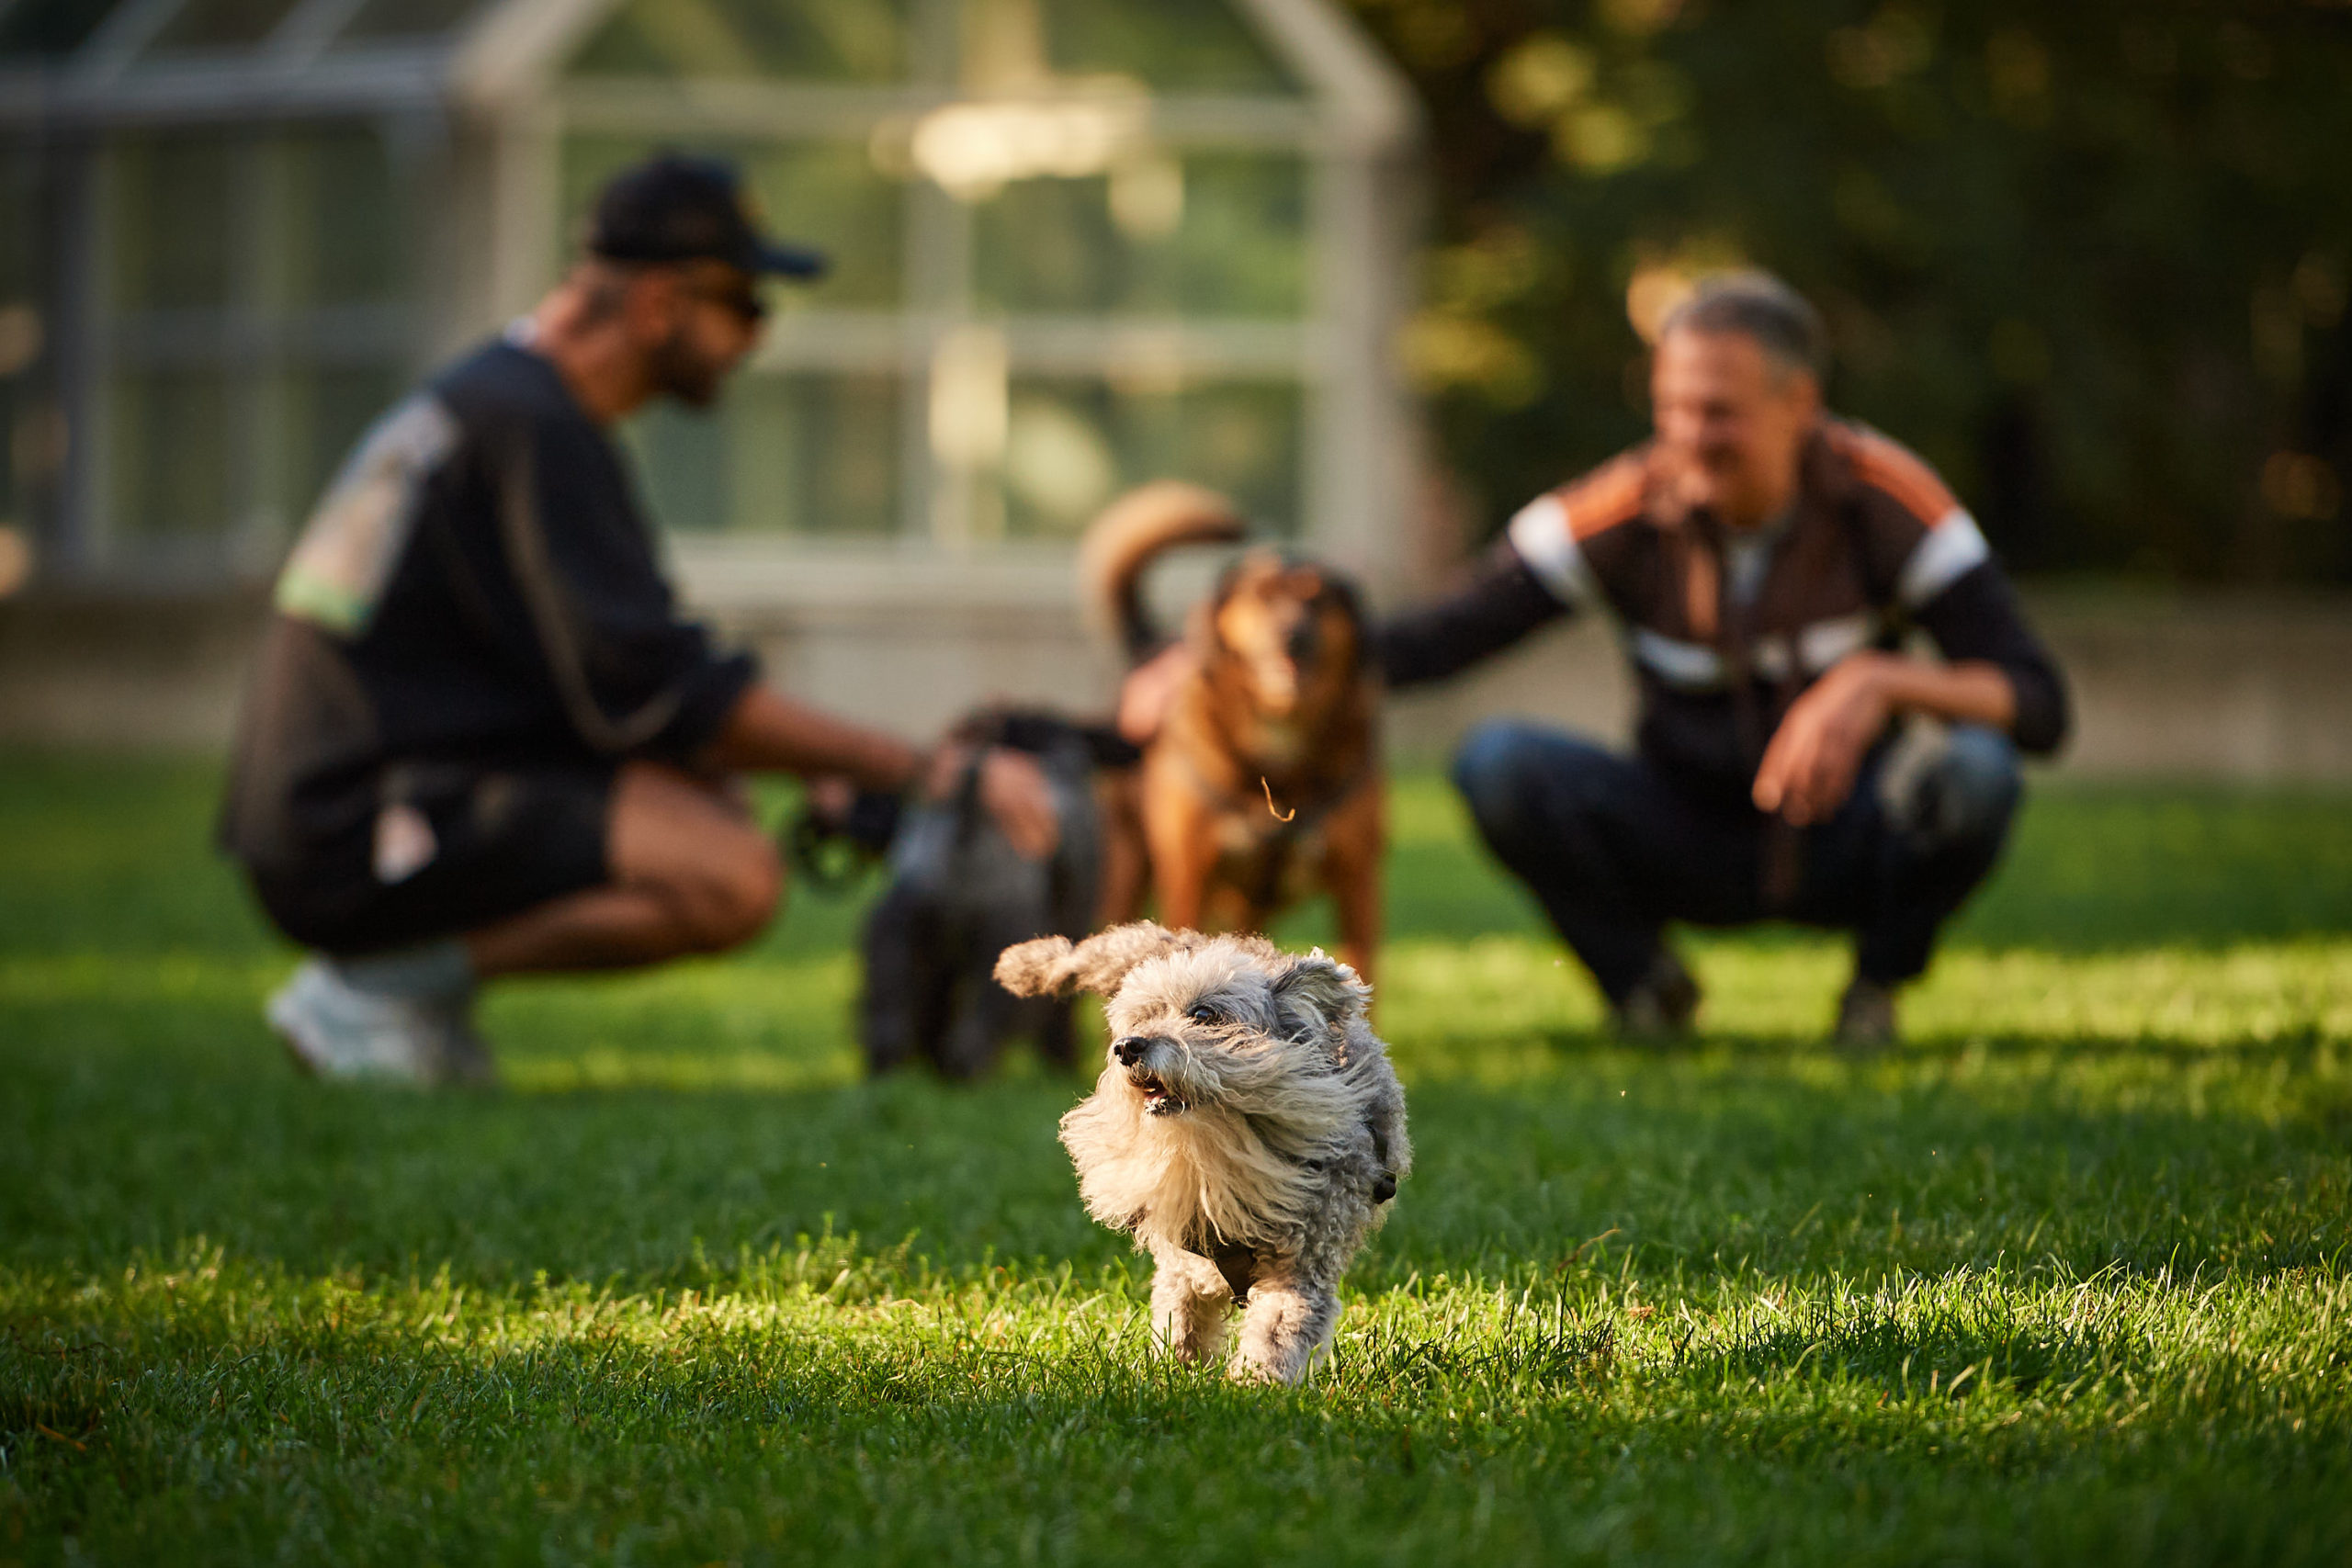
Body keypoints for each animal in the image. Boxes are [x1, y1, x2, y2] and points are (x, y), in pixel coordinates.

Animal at [997, 926, 1411, 1382]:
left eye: (1204, 1015)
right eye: (1141, 1019)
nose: (1127, 1047)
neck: (1217, 1152)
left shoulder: (1302, 1267)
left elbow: (1278, 1330)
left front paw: (1255, 1383)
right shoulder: (1181, 1264)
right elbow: (1181, 1319)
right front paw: (1177, 1371)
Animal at [1077, 484, 1383, 987]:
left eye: (1319, 601)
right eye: (1260, 597)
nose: (1293, 634)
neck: (1281, 741)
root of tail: (1150, 648)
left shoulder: (1358, 880)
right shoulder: (1190, 876)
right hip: (1123, 873)